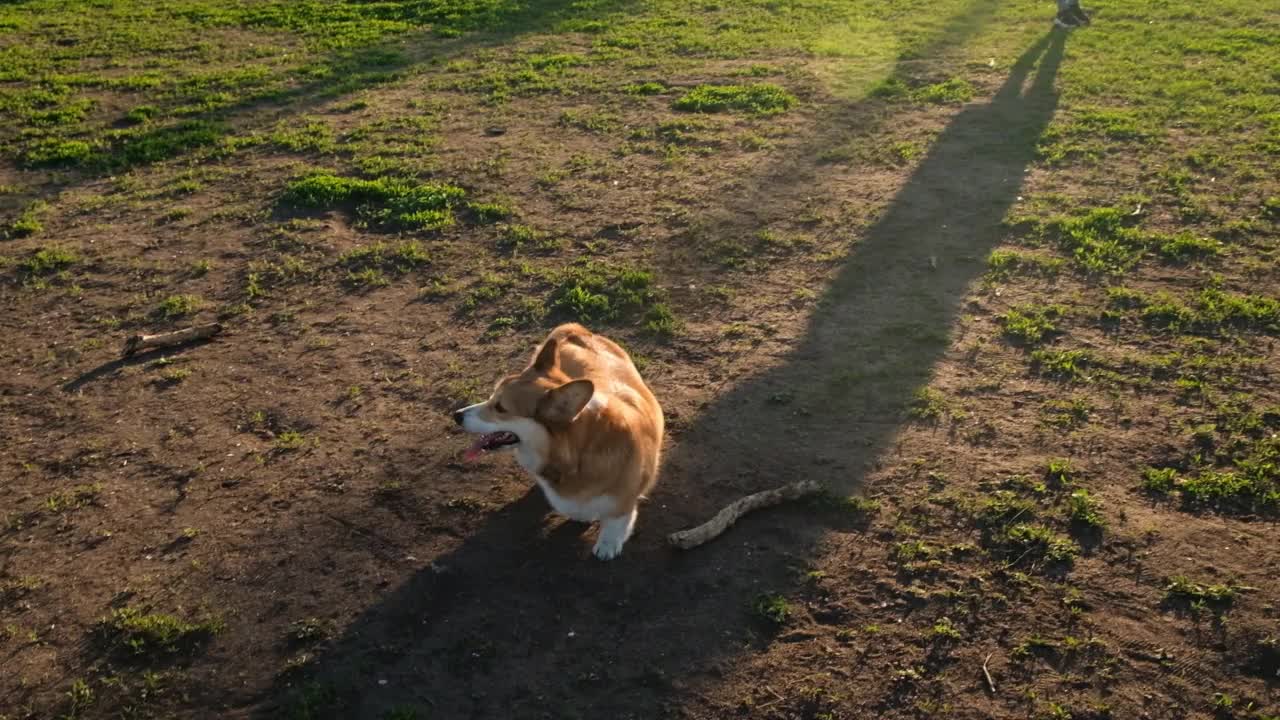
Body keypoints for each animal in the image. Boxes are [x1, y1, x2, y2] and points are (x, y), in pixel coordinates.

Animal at [450, 322, 665, 558]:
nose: (456, 415)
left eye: (500, 408)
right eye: (492, 397)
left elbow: (615, 521)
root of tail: (574, 329)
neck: (578, 452)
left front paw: (608, 545)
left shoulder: (623, 499)